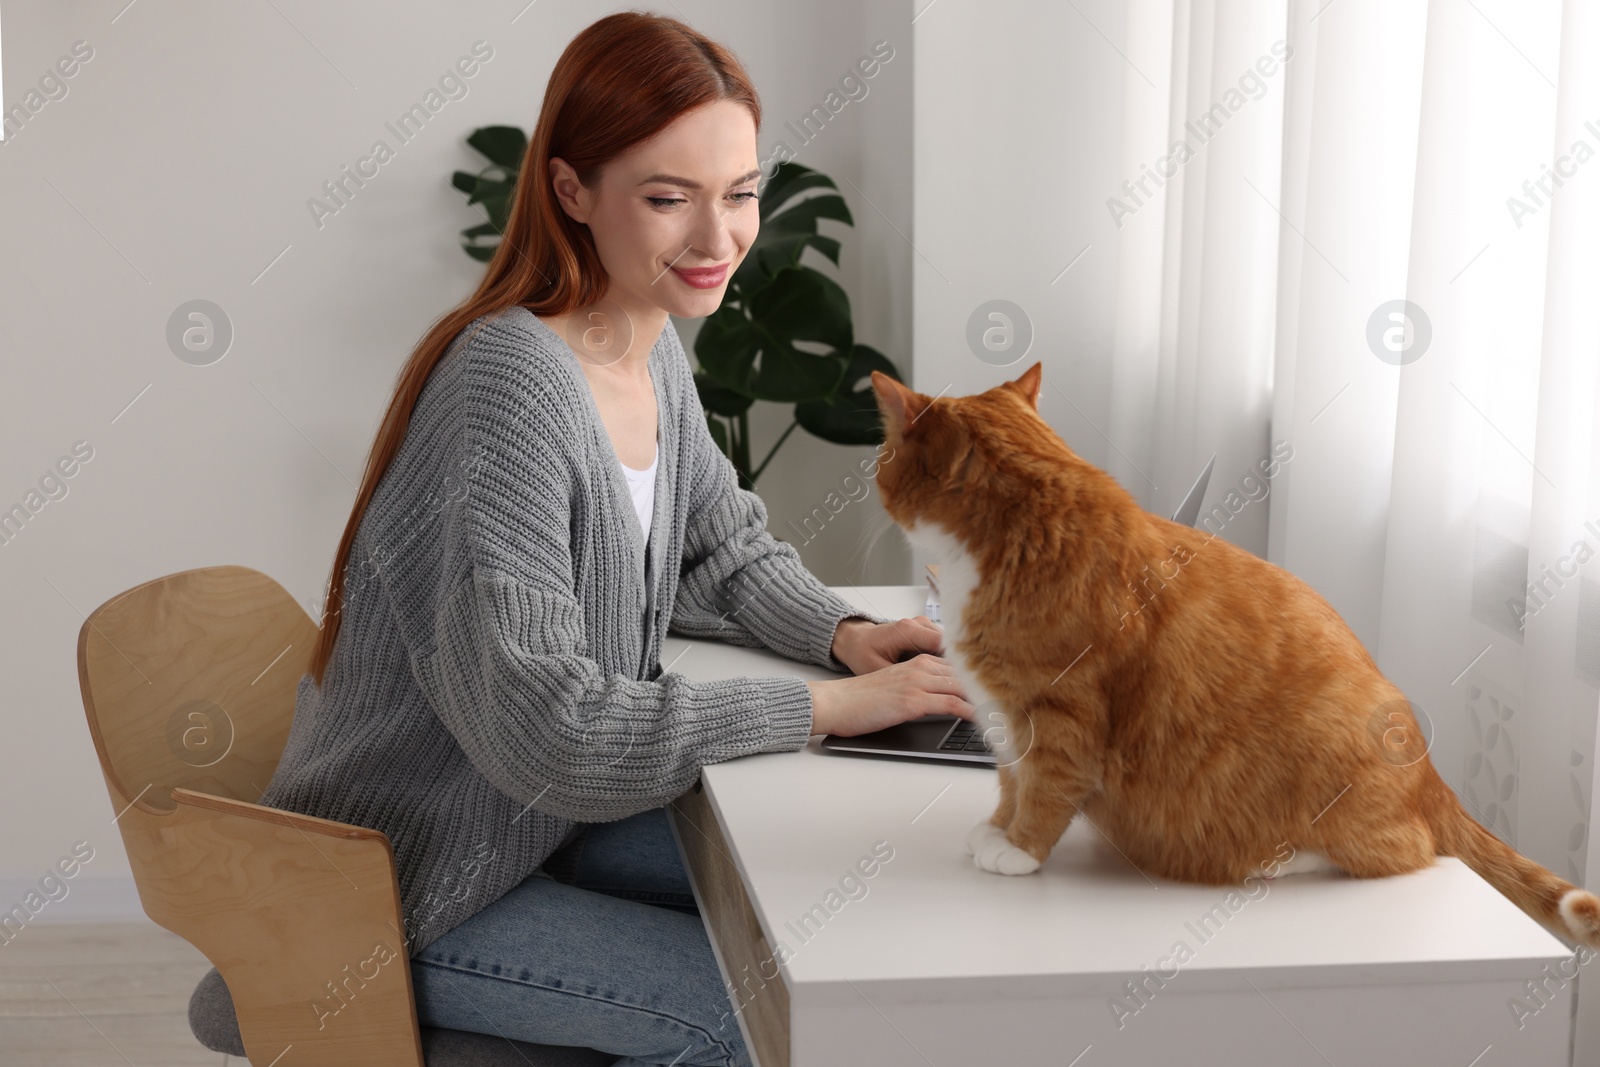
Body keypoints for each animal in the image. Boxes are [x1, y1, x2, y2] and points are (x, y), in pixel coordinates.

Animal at [876, 363, 1600, 947]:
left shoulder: (1057, 716)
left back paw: (1281, 858)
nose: (874, 471)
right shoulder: (1003, 717)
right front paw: (996, 828)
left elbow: (1044, 789)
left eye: (884, 452)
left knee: (1405, 850)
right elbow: (1009, 781)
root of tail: (1434, 780)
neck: (1019, 532)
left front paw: (1019, 848)